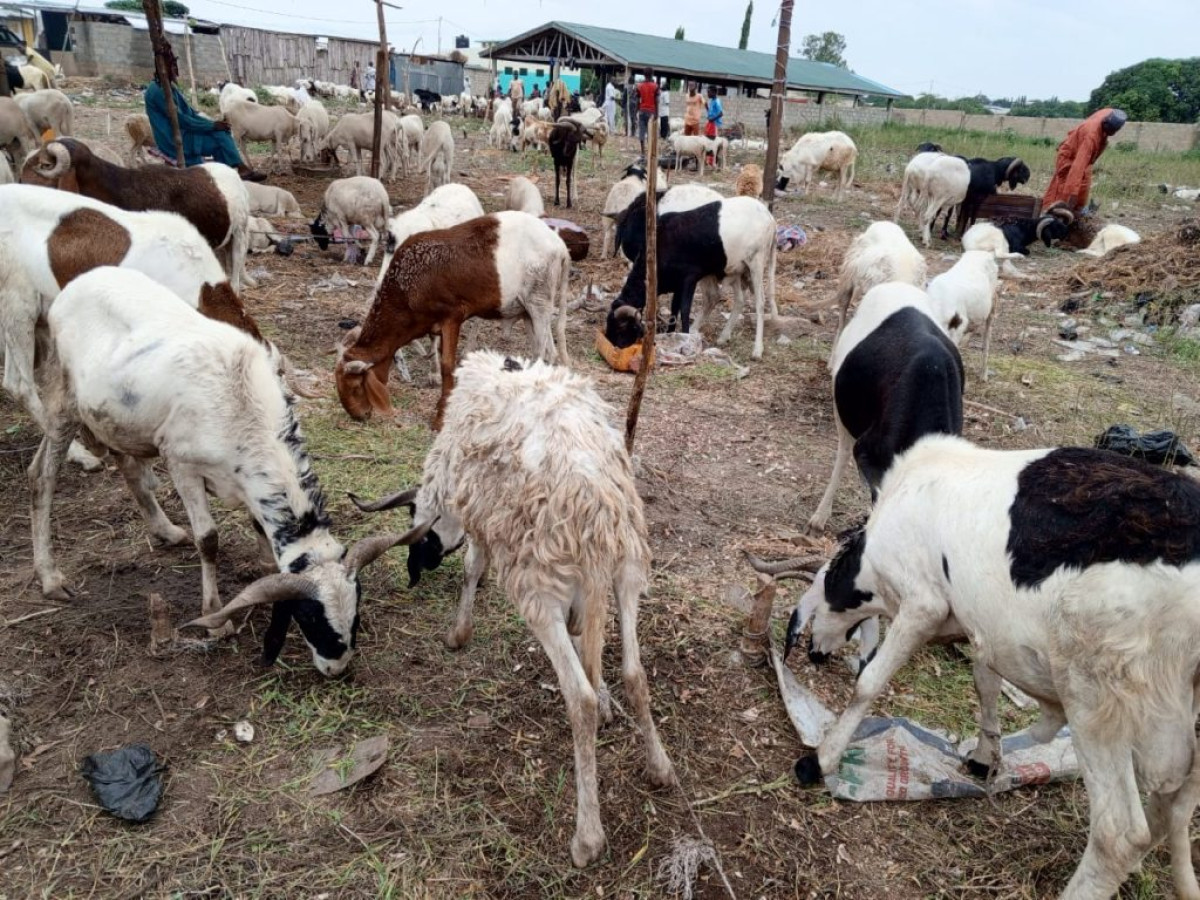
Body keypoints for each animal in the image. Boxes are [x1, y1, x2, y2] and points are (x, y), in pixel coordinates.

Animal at [34, 266, 428, 671]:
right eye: (309, 615)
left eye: (356, 609)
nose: (337, 669)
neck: (243, 404)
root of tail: (80, 282)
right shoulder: (182, 464)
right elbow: (208, 540)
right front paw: (215, 617)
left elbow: (258, 528)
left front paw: (264, 569)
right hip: (63, 398)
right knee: (41, 477)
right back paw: (51, 577)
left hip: (117, 421)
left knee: (126, 465)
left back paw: (165, 530)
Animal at [335, 211, 571, 430]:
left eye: (356, 387)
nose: (359, 416)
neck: (406, 289)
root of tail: (560, 247)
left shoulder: (452, 317)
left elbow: (448, 365)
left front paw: (441, 417)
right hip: (530, 311)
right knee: (543, 353)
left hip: (539, 303)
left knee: (545, 354)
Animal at [347, 350, 675, 866]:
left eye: (415, 520)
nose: (418, 566)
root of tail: (594, 505)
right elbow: (589, 645)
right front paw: (607, 700)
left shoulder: (479, 517)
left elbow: (472, 565)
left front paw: (458, 633)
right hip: (628, 569)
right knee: (635, 673)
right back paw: (659, 766)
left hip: (537, 585)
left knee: (577, 698)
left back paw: (587, 837)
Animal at [607, 194, 777, 359]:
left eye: (621, 327)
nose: (614, 346)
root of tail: (770, 219)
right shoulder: (677, 284)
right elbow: (674, 308)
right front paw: (671, 334)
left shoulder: (689, 278)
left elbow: (684, 309)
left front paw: (686, 335)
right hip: (736, 269)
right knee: (735, 300)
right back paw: (721, 337)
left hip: (756, 262)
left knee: (759, 303)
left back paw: (757, 350)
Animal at [791, 433, 1200, 900]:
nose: (814, 653)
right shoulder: (980, 626)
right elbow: (985, 683)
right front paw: (986, 757)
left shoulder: (924, 604)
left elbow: (869, 682)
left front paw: (821, 759)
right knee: (1168, 809)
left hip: (1097, 693)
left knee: (1120, 834)